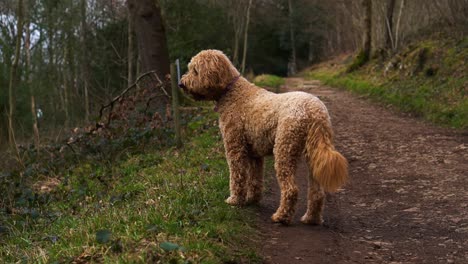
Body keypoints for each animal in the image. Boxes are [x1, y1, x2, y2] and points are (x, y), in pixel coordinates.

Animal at [179, 50, 348, 225]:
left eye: (195, 70)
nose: (181, 84)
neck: (231, 91)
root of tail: (315, 111)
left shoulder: (235, 147)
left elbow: (237, 176)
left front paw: (235, 200)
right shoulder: (254, 154)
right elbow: (255, 179)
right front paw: (252, 199)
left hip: (284, 149)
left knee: (291, 189)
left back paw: (281, 216)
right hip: (313, 154)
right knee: (317, 192)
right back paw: (311, 218)